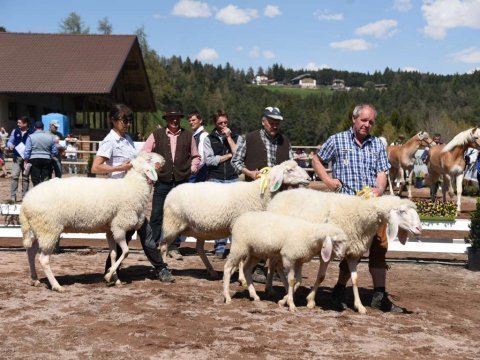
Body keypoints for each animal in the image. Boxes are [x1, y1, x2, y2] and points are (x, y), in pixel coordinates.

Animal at [20, 150, 165, 292]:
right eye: (149, 158)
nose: (163, 159)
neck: (133, 187)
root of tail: (25, 203)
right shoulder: (119, 226)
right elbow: (125, 252)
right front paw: (108, 276)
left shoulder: (110, 230)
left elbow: (113, 254)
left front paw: (116, 280)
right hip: (49, 228)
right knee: (43, 259)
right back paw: (56, 286)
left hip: (40, 228)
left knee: (31, 251)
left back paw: (34, 279)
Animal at [161, 160, 312, 278]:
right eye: (290, 170)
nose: (309, 179)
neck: (258, 194)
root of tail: (172, 191)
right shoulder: (239, 227)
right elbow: (242, 256)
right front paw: (241, 277)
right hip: (172, 223)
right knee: (163, 245)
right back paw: (165, 267)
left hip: (200, 229)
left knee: (199, 249)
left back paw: (212, 272)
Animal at [268, 190, 422, 314]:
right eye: (402, 211)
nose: (419, 229)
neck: (360, 215)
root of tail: (278, 196)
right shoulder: (328, 250)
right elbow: (321, 276)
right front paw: (309, 300)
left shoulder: (353, 253)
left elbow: (355, 279)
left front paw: (360, 306)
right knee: (273, 265)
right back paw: (272, 289)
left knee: (275, 265)